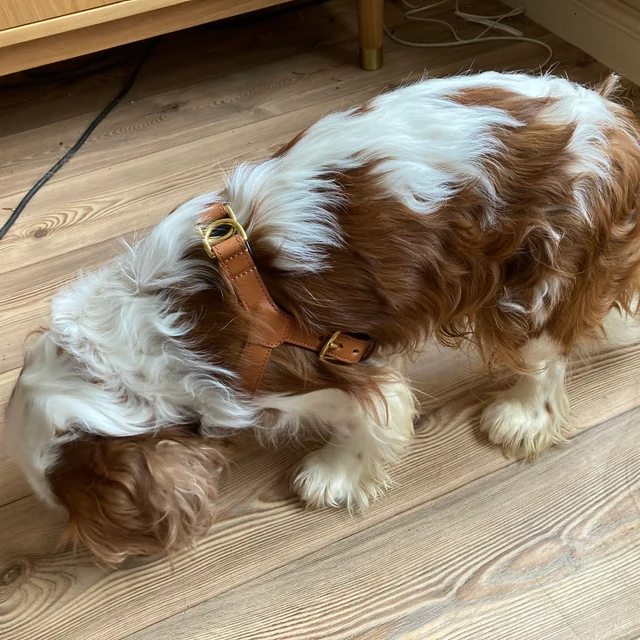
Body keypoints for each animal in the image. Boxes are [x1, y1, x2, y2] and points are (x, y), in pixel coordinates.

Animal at [5, 71, 640, 564]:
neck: (147, 323)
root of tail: (611, 119)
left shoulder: (321, 367)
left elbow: (371, 417)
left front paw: (333, 476)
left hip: (535, 278)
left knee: (545, 357)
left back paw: (521, 418)